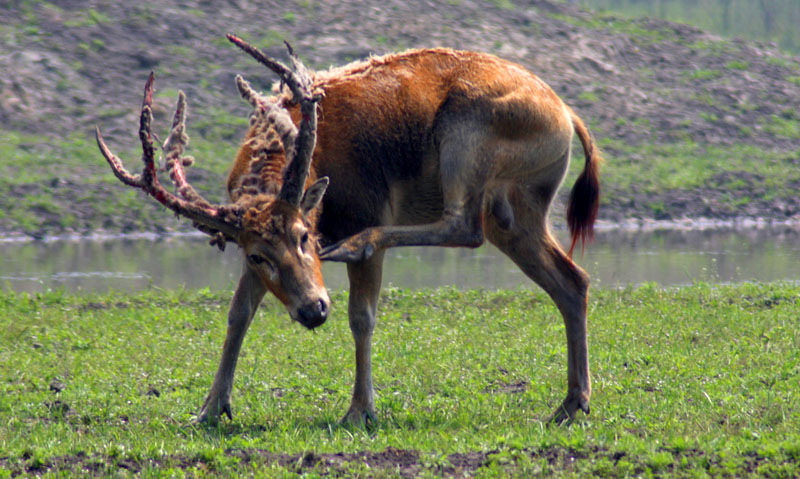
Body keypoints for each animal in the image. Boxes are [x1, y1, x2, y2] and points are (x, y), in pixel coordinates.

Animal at [97, 35, 600, 430]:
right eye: (258, 255)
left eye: (304, 234)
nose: (313, 309)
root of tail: (568, 115)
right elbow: (238, 313)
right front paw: (210, 407)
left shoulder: (367, 206)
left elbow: (363, 316)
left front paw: (360, 410)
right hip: (518, 210)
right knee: (571, 280)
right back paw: (572, 404)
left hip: (466, 142)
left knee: (463, 225)